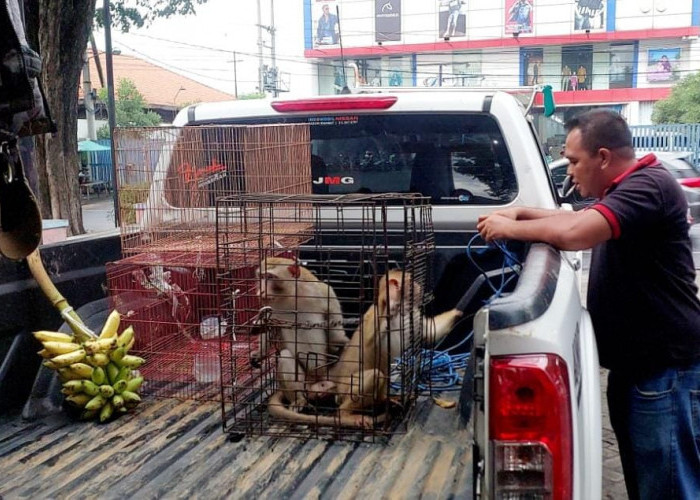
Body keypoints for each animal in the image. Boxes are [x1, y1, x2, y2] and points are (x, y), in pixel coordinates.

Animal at [252, 256, 350, 412]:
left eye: (270, 277)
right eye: (261, 277)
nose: (261, 291)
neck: (292, 294)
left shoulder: (324, 292)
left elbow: (334, 329)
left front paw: (340, 342)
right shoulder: (271, 306)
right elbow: (268, 327)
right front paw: (259, 353)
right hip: (303, 384)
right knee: (286, 356)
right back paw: (300, 400)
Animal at [266, 268, 460, 428]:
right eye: (412, 281)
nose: (419, 286)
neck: (401, 313)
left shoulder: (414, 316)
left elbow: (429, 334)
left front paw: (460, 312)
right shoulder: (376, 314)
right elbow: (369, 339)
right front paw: (389, 305)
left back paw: (385, 399)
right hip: (344, 392)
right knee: (375, 375)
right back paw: (345, 414)